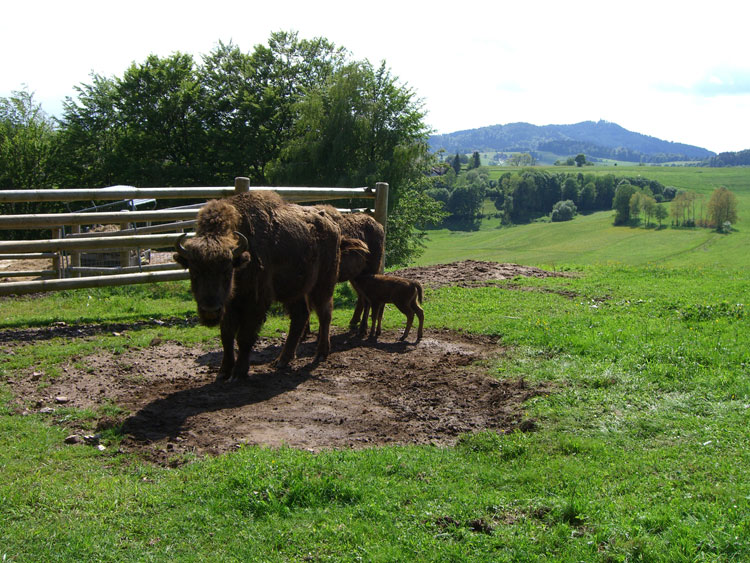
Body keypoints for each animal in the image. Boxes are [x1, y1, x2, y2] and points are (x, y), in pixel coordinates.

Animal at [173, 192, 340, 382]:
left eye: (227, 271)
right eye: (194, 272)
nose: (210, 311)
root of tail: (332, 224)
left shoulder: (256, 302)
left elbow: (244, 337)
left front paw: (238, 373)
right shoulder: (229, 305)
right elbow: (226, 336)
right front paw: (223, 372)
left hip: (322, 285)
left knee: (324, 313)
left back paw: (320, 354)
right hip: (293, 291)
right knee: (300, 316)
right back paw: (282, 360)